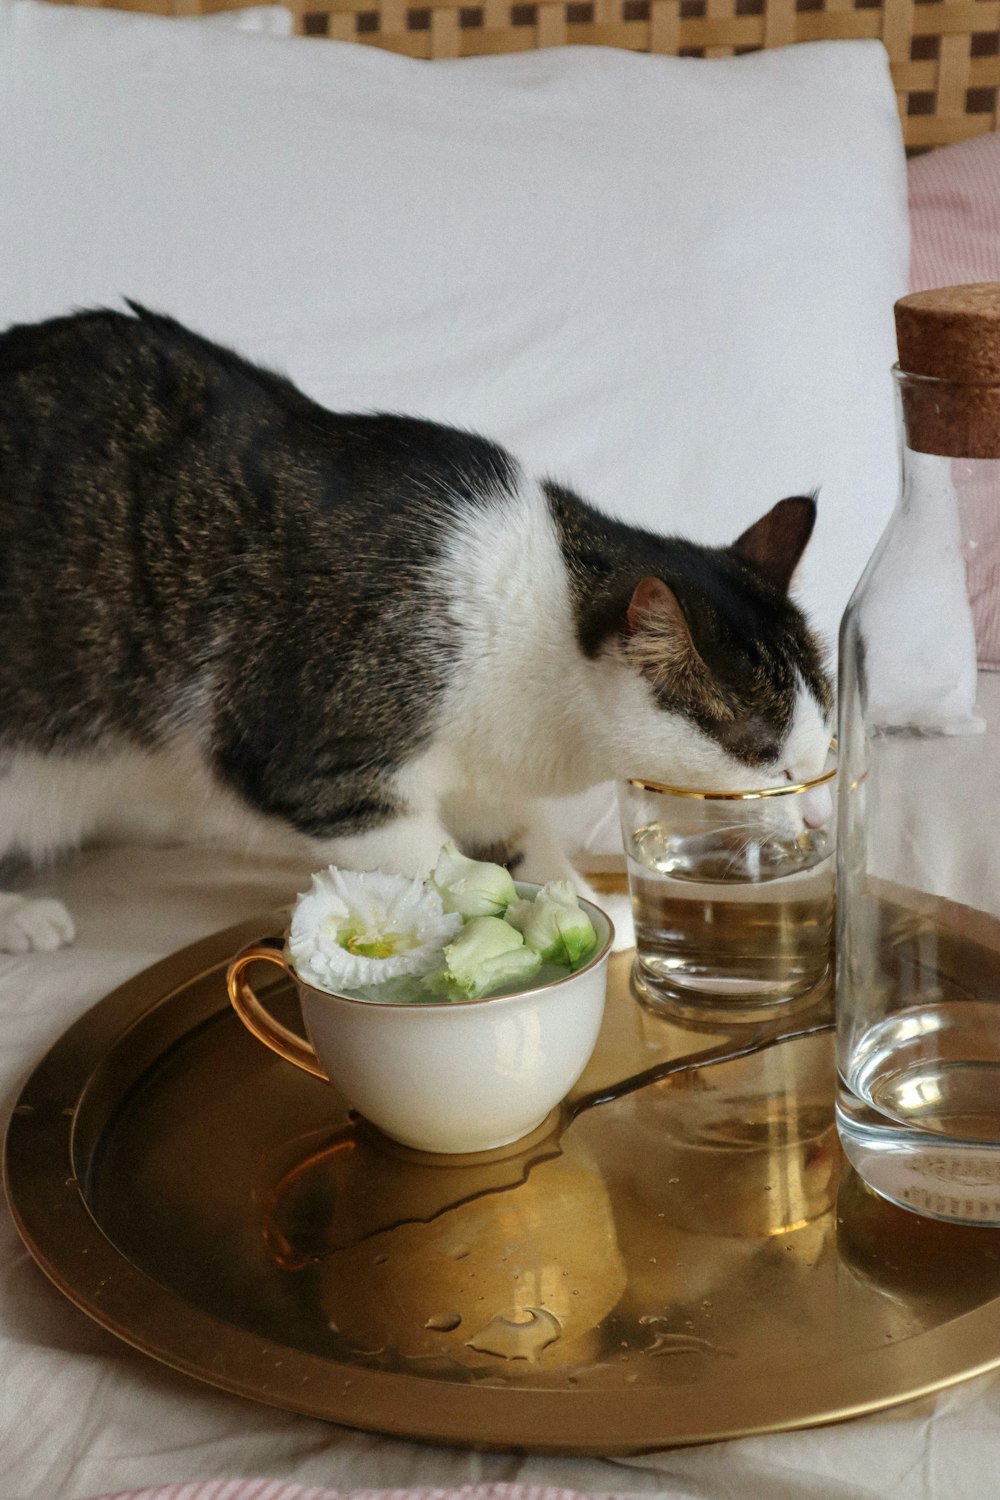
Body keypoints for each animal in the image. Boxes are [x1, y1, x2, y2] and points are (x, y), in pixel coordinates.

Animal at [0, 306, 833, 954]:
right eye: (764, 753)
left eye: (823, 743)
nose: (813, 819)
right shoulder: (314, 757)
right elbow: (432, 861)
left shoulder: (486, 771)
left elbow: (514, 838)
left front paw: (587, 911)